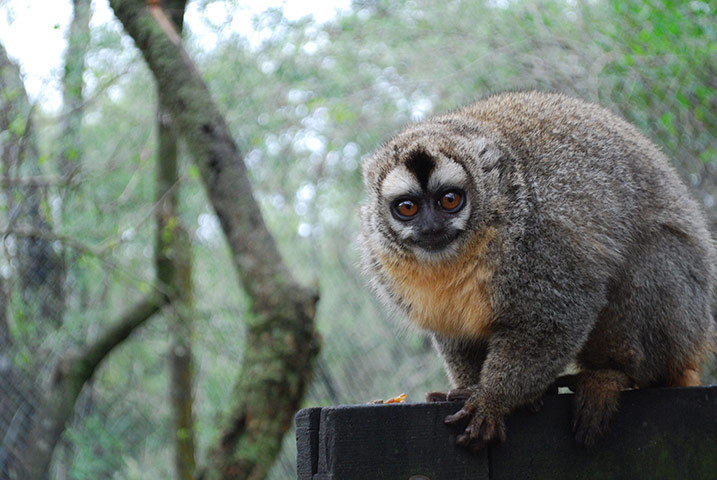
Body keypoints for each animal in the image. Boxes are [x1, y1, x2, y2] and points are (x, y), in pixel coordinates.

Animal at [359, 91, 716, 449]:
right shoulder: (382, 258)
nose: (431, 227)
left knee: (649, 261)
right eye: (407, 207)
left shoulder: (540, 236)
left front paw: (492, 398)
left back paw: (611, 375)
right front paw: (467, 388)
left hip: (683, 322)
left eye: (449, 200)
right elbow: (456, 334)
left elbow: (557, 316)